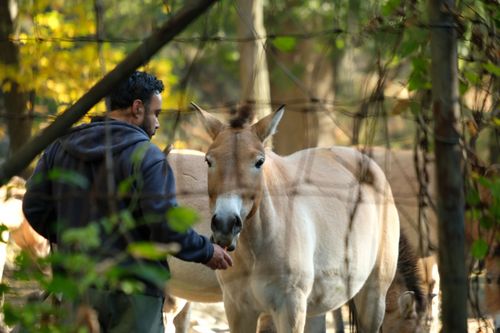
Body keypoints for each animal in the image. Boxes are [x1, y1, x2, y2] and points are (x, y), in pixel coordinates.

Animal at [188, 104, 402, 332]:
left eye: (259, 162)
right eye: (208, 160)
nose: (225, 224)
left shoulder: (290, 308)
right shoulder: (238, 310)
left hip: (372, 299)